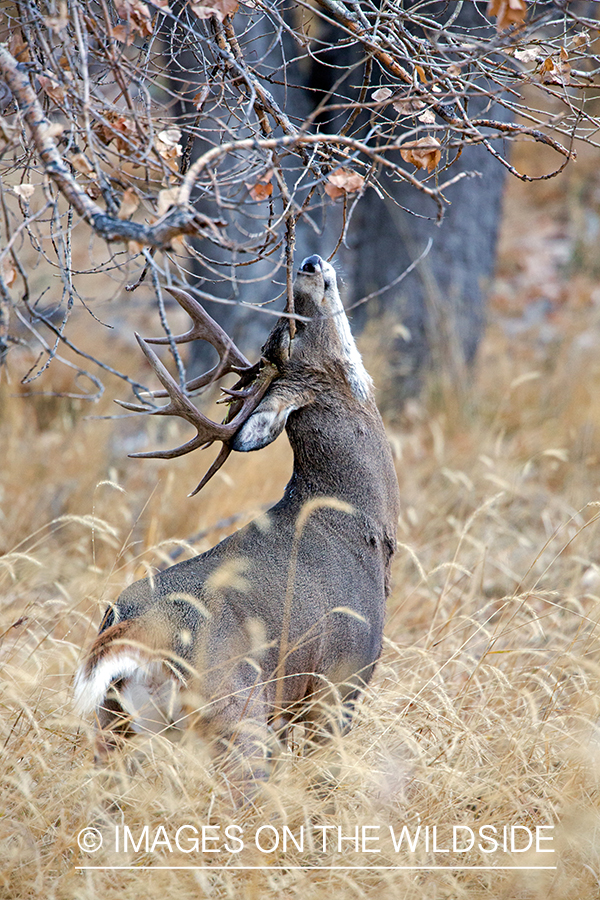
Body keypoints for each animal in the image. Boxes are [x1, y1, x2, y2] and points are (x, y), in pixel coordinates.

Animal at [77, 255, 400, 800]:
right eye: (290, 328)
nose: (310, 262)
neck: (358, 524)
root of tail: (140, 631)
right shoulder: (340, 682)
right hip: (237, 718)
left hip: (114, 726)